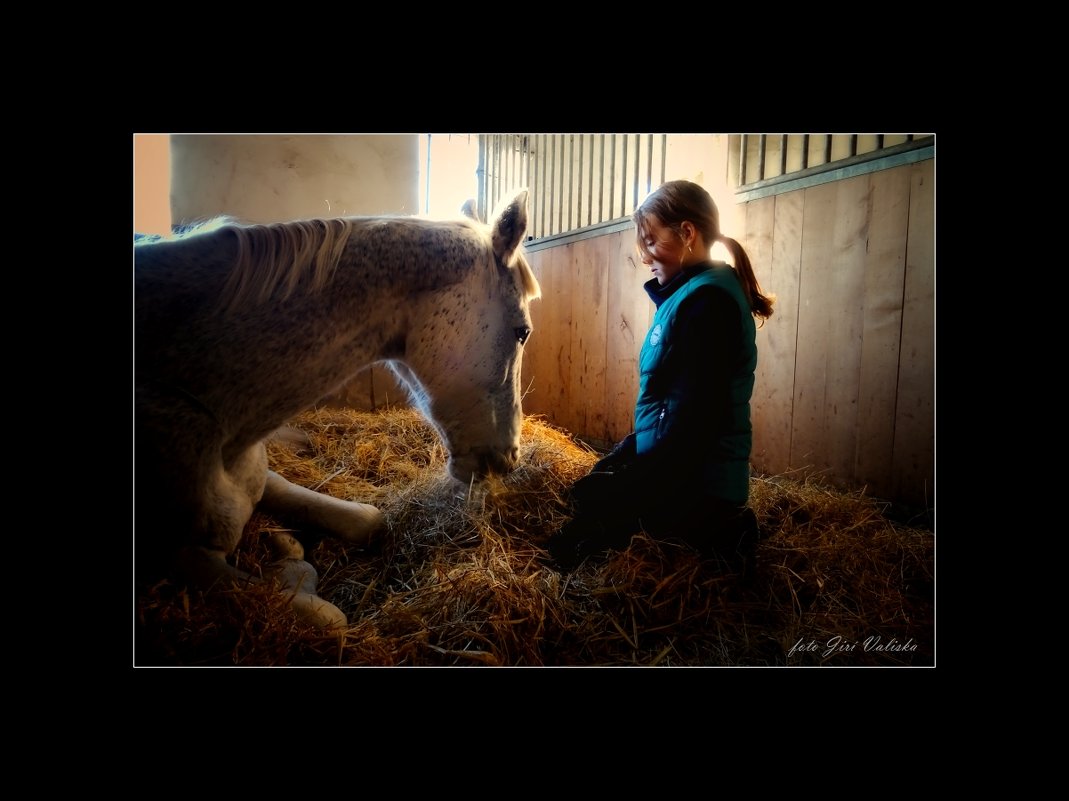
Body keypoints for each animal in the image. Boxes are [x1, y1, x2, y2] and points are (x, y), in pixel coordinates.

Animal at [133, 189, 538, 633]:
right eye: (522, 331)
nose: (509, 458)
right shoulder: (178, 555)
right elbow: (328, 618)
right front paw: (289, 565)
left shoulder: (265, 478)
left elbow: (367, 521)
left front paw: (288, 551)